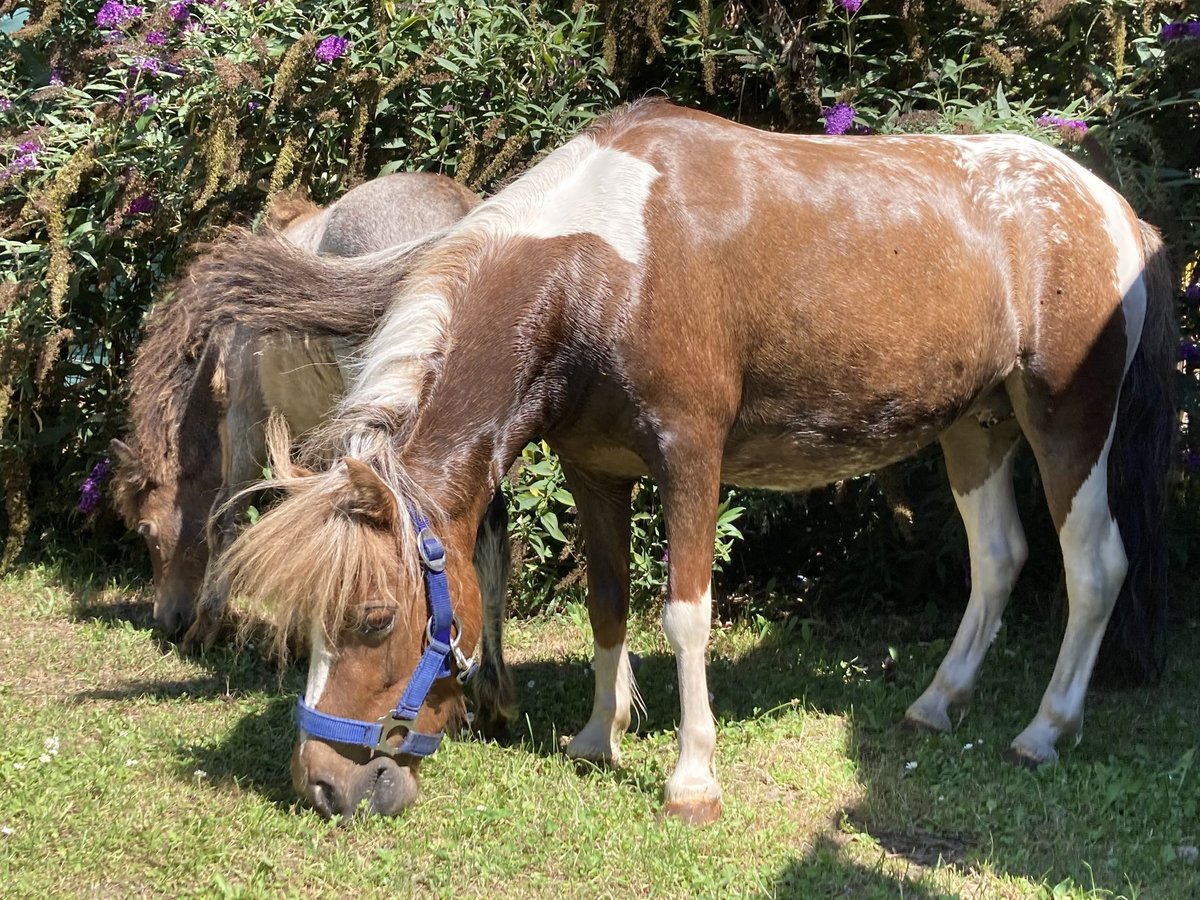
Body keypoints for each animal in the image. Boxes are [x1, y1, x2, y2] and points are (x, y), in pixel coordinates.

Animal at [194, 100, 1171, 825]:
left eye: (374, 618)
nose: (324, 786)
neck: (605, 268)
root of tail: (1112, 209)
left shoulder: (691, 461)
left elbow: (685, 616)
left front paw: (691, 778)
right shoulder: (596, 471)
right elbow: (608, 602)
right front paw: (598, 739)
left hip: (1067, 424)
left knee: (1093, 567)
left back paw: (1044, 730)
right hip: (976, 429)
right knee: (999, 559)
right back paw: (937, 703)